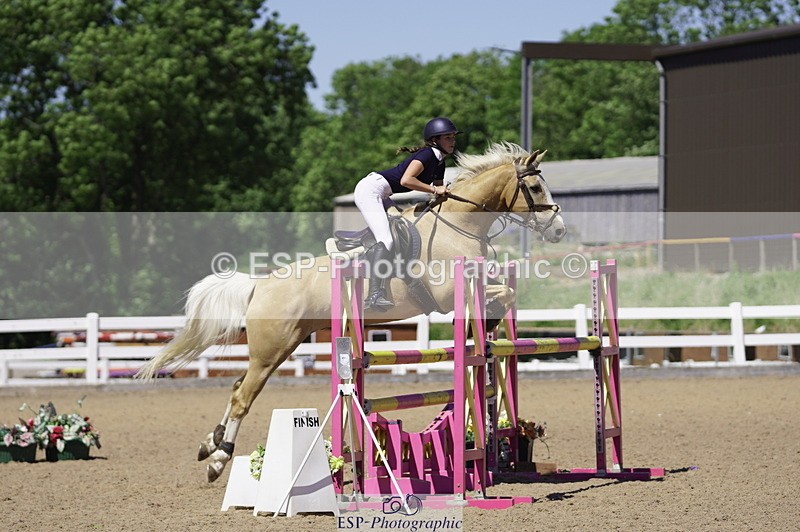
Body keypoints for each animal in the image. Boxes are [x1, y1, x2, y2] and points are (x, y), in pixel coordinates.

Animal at [135, 142, 566, 482]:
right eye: (533, 186)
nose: (559, 230)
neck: (456, 227)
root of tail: (261, 284)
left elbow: (504, 291)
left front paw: (489, 328)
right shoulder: (446, 297)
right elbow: (502, 293)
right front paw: (489, 321)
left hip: (283, 346)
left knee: (237, 386)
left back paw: (208, 445)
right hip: (271, 350)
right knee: (244, 395)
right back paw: (219, 459)